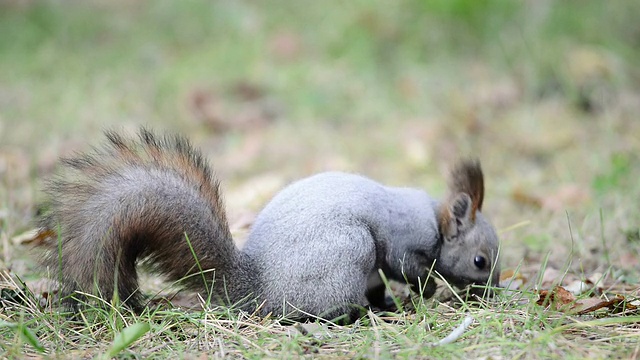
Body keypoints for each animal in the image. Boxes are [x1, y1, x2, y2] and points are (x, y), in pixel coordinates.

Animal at [37, 128, 502, 322]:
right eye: (480, 260)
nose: (494, 292)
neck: (437, 223)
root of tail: (257, 287)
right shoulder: (406, 241)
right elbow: (409, 267)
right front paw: (430, 290)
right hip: (349, 250)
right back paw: (363, 315)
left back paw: (381, 307)